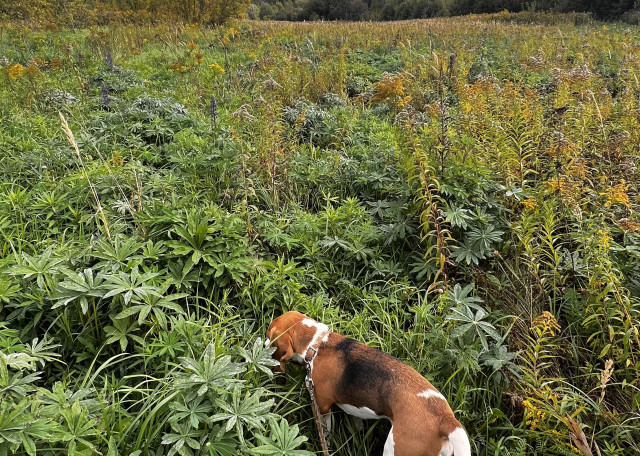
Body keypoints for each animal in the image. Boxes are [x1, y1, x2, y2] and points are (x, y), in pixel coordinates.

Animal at [265, 311, 472, 456]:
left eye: (268, 333)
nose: (261, 344)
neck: (316, 345)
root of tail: (445, 418)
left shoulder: (322, 406)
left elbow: (325, 434)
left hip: (395, 449)